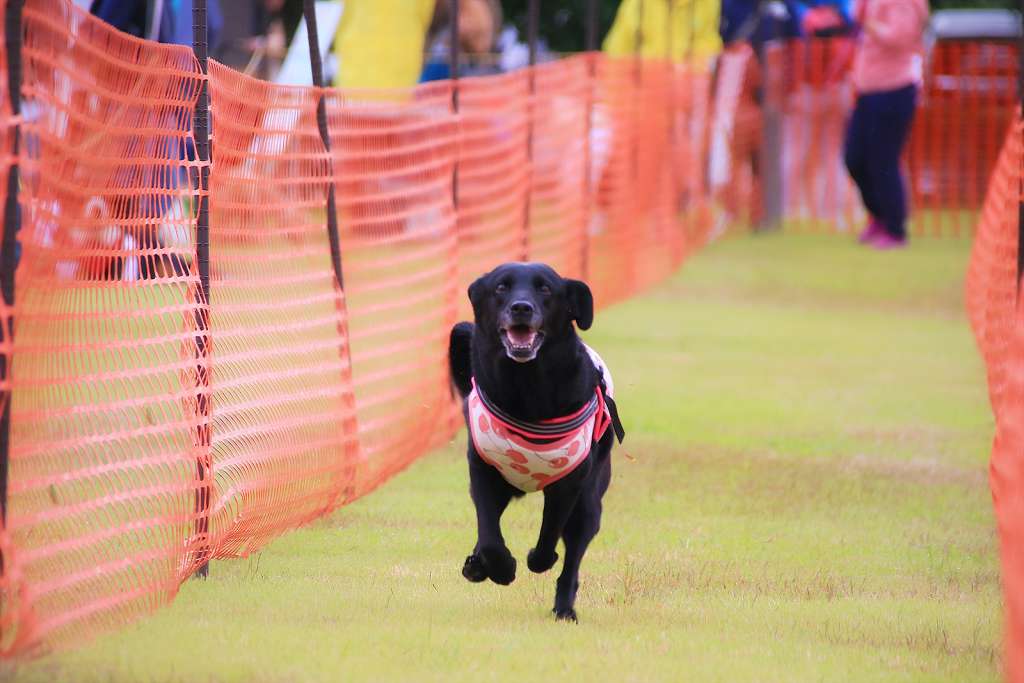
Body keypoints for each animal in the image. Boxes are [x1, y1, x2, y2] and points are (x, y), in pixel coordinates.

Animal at [448, 264, 622, 626]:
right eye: (501, 287)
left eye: (545, 289)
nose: (521, 308)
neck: (525, 388)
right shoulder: (483, 470)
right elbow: (489, 534)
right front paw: (499, 567)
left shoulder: (569, 483)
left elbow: (549, 532)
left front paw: (537, 559)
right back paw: (478, 565)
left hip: (589, 504)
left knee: (572, 561)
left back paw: (564, 608)